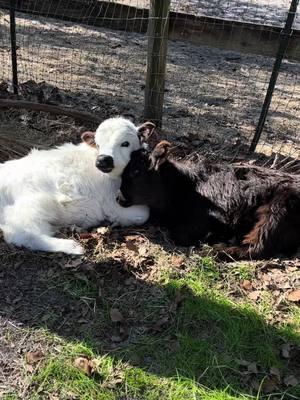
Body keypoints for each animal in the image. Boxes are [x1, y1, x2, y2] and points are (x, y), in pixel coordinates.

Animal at [0, 116, 151, 253]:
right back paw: (72, 246)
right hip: (32, 205)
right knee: (22, 234)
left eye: (125, 143)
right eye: (98, 145)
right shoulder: (110, 203)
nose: (103, 160)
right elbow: (144, 213)